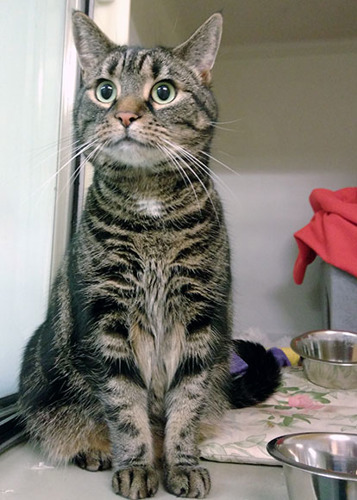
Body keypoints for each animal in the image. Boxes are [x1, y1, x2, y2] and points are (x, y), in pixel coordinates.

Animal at [19, 11, 280, 500]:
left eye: (164, 91)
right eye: (105, 89)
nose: (124, 114)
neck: (150, 205)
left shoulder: (199, 320)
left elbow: (186, 406)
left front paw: (181, 463)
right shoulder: (107, 318)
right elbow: (125, 407)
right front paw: (138, 465)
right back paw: (95, 450)